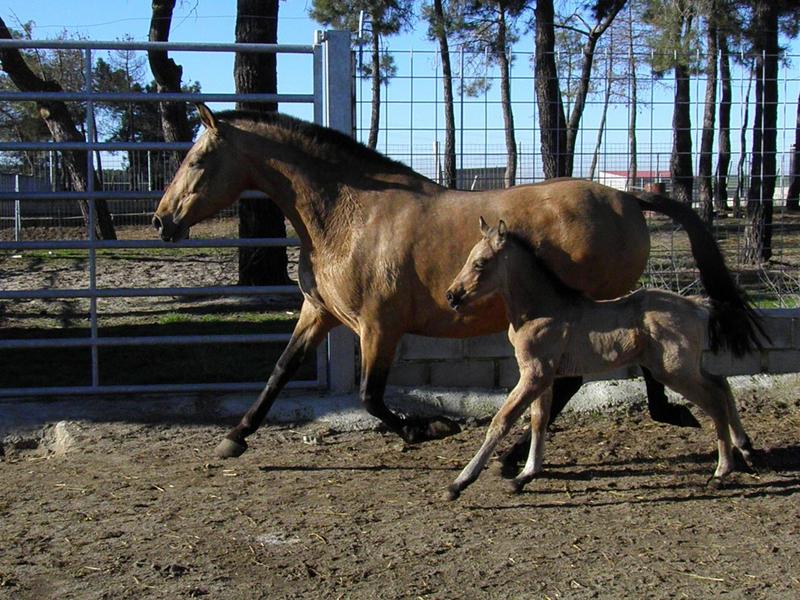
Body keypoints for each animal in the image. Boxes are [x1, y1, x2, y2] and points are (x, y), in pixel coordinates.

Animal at [152, 104, 764, 462]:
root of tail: (626, 196)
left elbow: (371, 396)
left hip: (590, 309)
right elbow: (280, 371)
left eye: (198, 159)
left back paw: (519, 456)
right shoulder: (320, 314)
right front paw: (236, 436)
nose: (161, 221)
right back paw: (673, 415)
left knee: (580, 377)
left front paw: (429, 428)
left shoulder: (380, 326)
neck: (351, 215)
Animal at [444, 218, 756, 500]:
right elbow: (539, 420)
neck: (540, 310)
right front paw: (525, 475)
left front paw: (459, 483)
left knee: (715, 400)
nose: (451, 295)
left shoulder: (534, 374)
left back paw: (721, 472)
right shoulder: (544, 377)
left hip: (674, 370)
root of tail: (699, 305)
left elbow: (502, 421)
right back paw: (745, 449)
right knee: (721, 383)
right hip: (687, 367)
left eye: (480, 263)